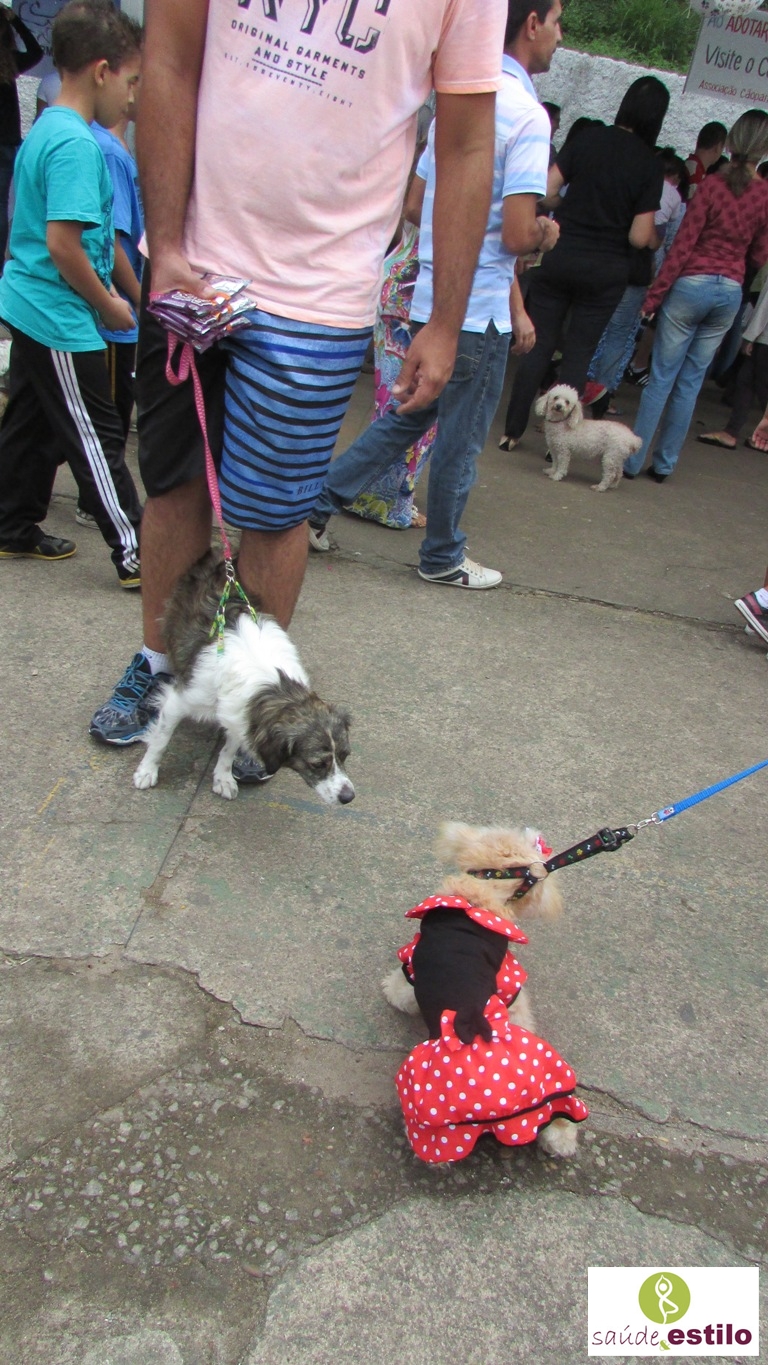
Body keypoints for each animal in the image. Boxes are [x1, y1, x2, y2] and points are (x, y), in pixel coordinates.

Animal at [133, 550, 355, 804]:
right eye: (318, 764)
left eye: (345, 755)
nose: (349, 797)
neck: (273, 684)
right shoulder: (179, 701)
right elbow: (161, 739)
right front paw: (147, 770)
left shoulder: (242, 713)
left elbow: (230, 748)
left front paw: (223, 777)